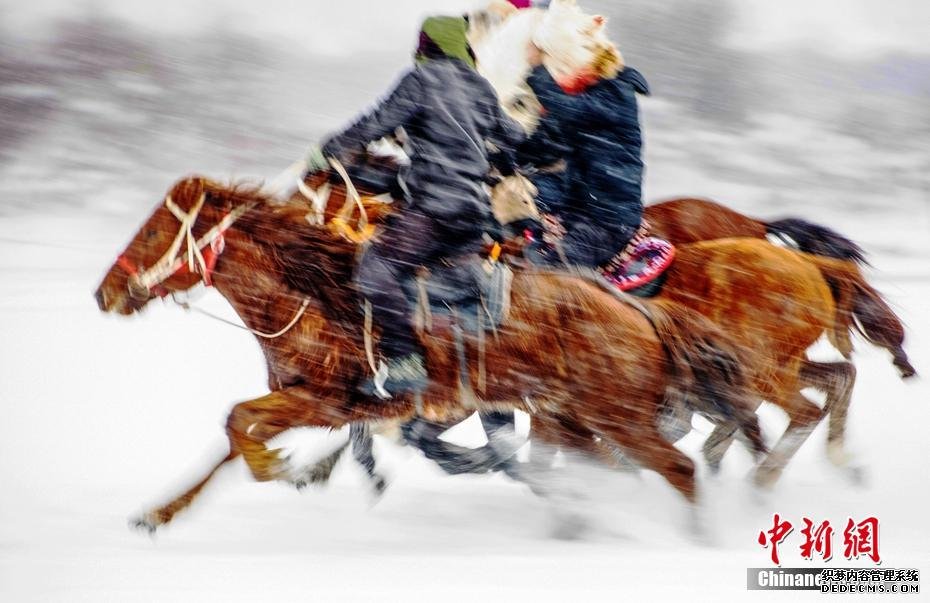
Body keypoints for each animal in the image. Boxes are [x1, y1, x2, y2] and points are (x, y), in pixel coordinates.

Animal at [96, 176, 760, 532]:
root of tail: (638, 311)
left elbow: (240, 423)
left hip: (616, 417)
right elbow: (234, 435)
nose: (105, 293)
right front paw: (160, 514)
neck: (313, 293)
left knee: (679, 467)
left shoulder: (332, 401)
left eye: (155, 231)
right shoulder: (313, 401)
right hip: (576, 419)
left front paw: (283, 469)